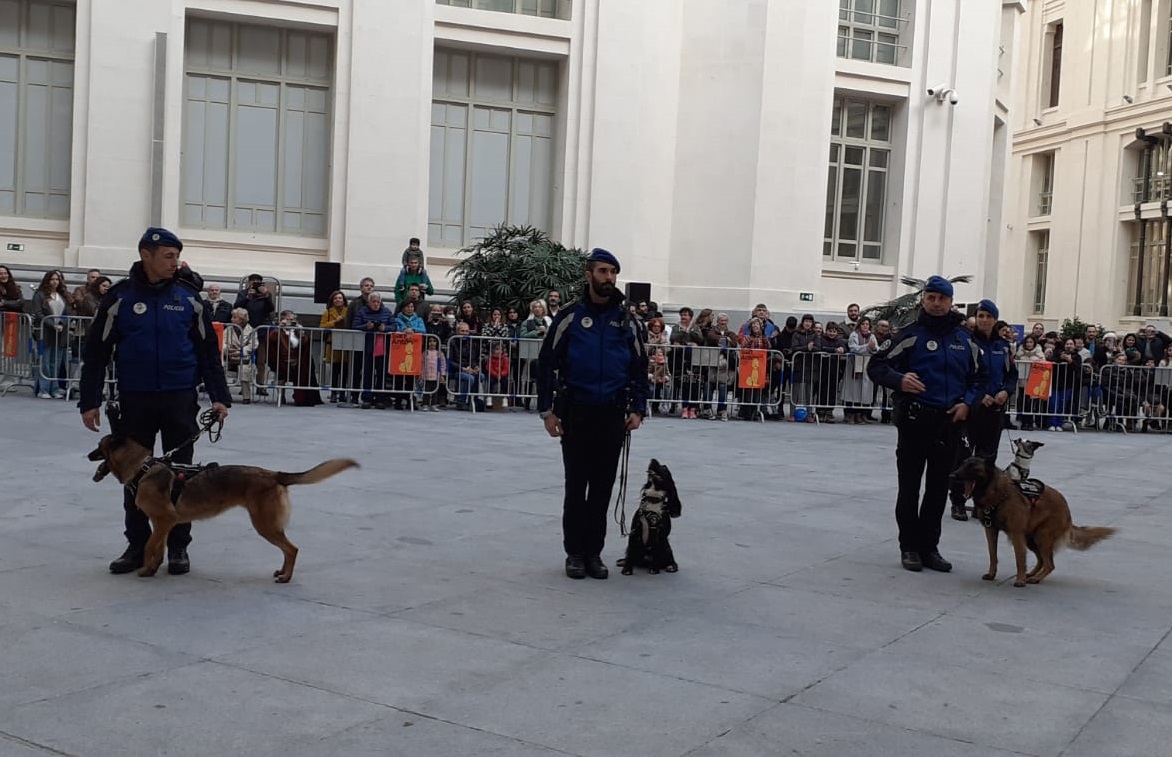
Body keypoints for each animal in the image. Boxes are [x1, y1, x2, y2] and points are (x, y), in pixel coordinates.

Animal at [88, 435, 358, 582]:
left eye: (99, 446)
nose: (88, 455)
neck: (142, 469)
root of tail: (274, 475)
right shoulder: (162, 524)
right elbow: (157, 548)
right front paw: (152, 568)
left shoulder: (164, 520)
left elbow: (148, 546)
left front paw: (145, 569)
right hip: (267, 525)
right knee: (287, 549)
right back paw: (282, 571)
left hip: (265, 525)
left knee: (292, 549)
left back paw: (286, 577)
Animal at [951, 456, 1115, 587]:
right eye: (963, 464)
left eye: (973, 467)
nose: (952, 474)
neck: (997, 492)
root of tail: (1068, 512)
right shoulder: (991, 530)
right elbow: (993, 555)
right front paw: (992, 574)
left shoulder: (1016, 534)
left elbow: (1019, 559)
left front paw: (1020, 580)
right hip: (1032, 539)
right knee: (1042, 560)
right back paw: (1032, 575)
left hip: (1041, 536)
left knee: (1050, 564)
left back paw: (1035, 578)